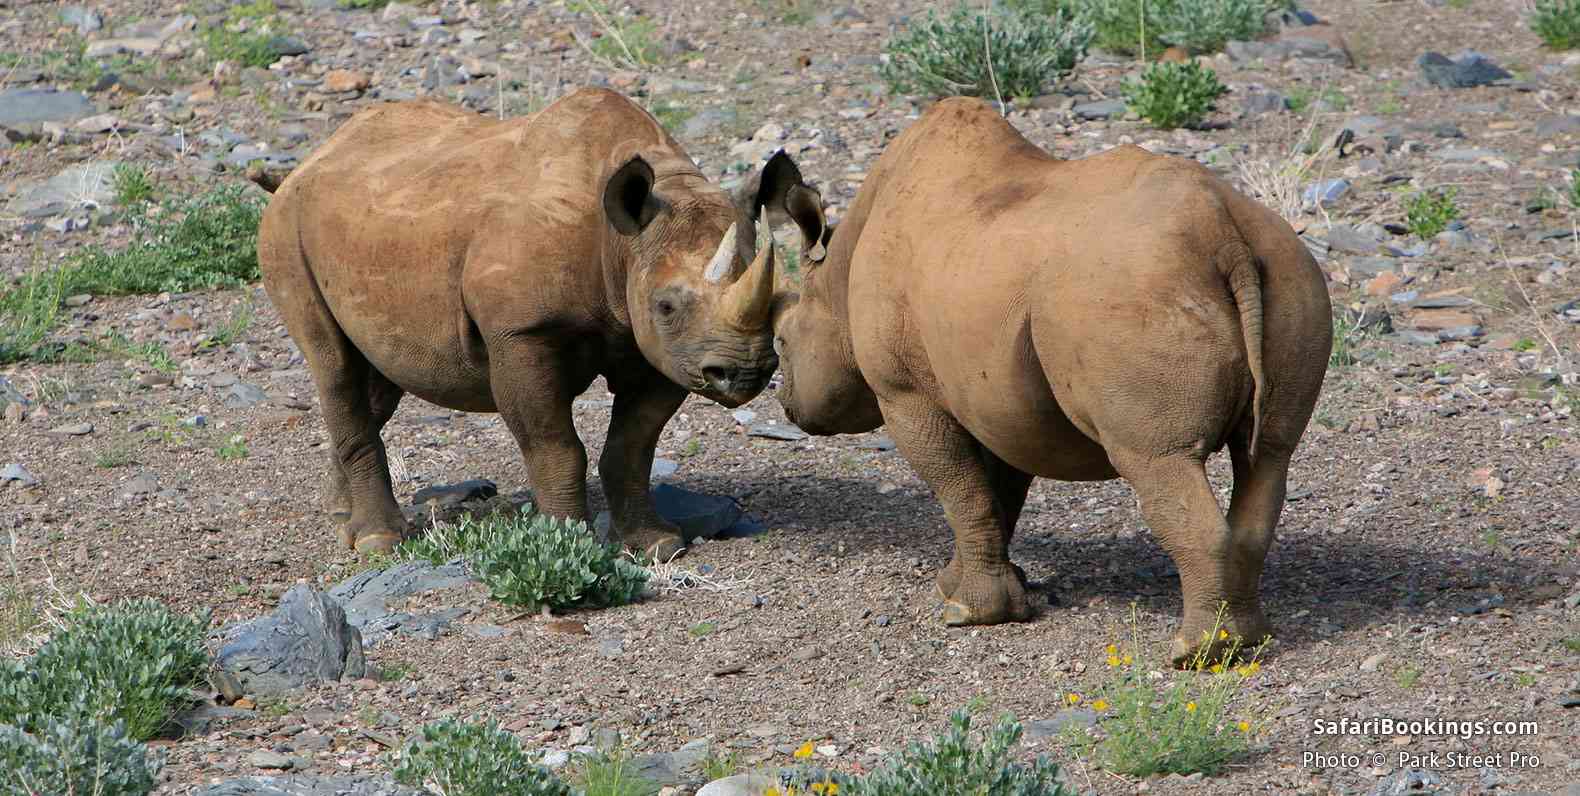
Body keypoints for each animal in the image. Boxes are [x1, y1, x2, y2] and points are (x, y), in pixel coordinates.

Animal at [252, 88, 827, 559]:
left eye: (780, 299)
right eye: (666, 306)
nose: (745, 373)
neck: (620, 243)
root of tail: (310, 160)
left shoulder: (662, 350)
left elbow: (634, 446)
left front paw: (656, 544)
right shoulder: (524, 333)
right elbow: (555, 447)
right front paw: (570, 545)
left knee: (377, 376)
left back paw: (341, 518)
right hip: (285, 230)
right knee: (334, 364)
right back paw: (379, 541)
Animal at [771, 97, 1332, 663]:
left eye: (781, 342)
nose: (788, 406)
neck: (836, 278)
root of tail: (1223, 233)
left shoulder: (905, 394)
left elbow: (959, 490)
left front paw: (969, 613)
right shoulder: (995, 395)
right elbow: (994, 495)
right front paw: (962, 587)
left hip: (1131, 292)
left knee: (1160, 459)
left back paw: (1196, 654)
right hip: (1292, 275)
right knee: (1269, 455)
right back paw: (1248, 640)